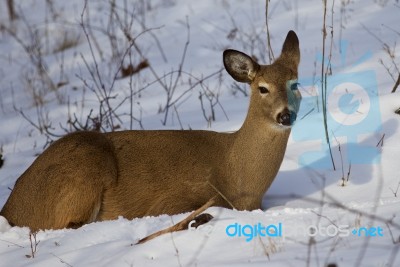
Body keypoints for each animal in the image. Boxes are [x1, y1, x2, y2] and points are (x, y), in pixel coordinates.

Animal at [0, 30, 300, 232]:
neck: (237, 174)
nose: (285, 115)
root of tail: (11, 207)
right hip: (83, 170)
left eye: (294, 83)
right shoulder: (175, 200)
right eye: (262, 88)